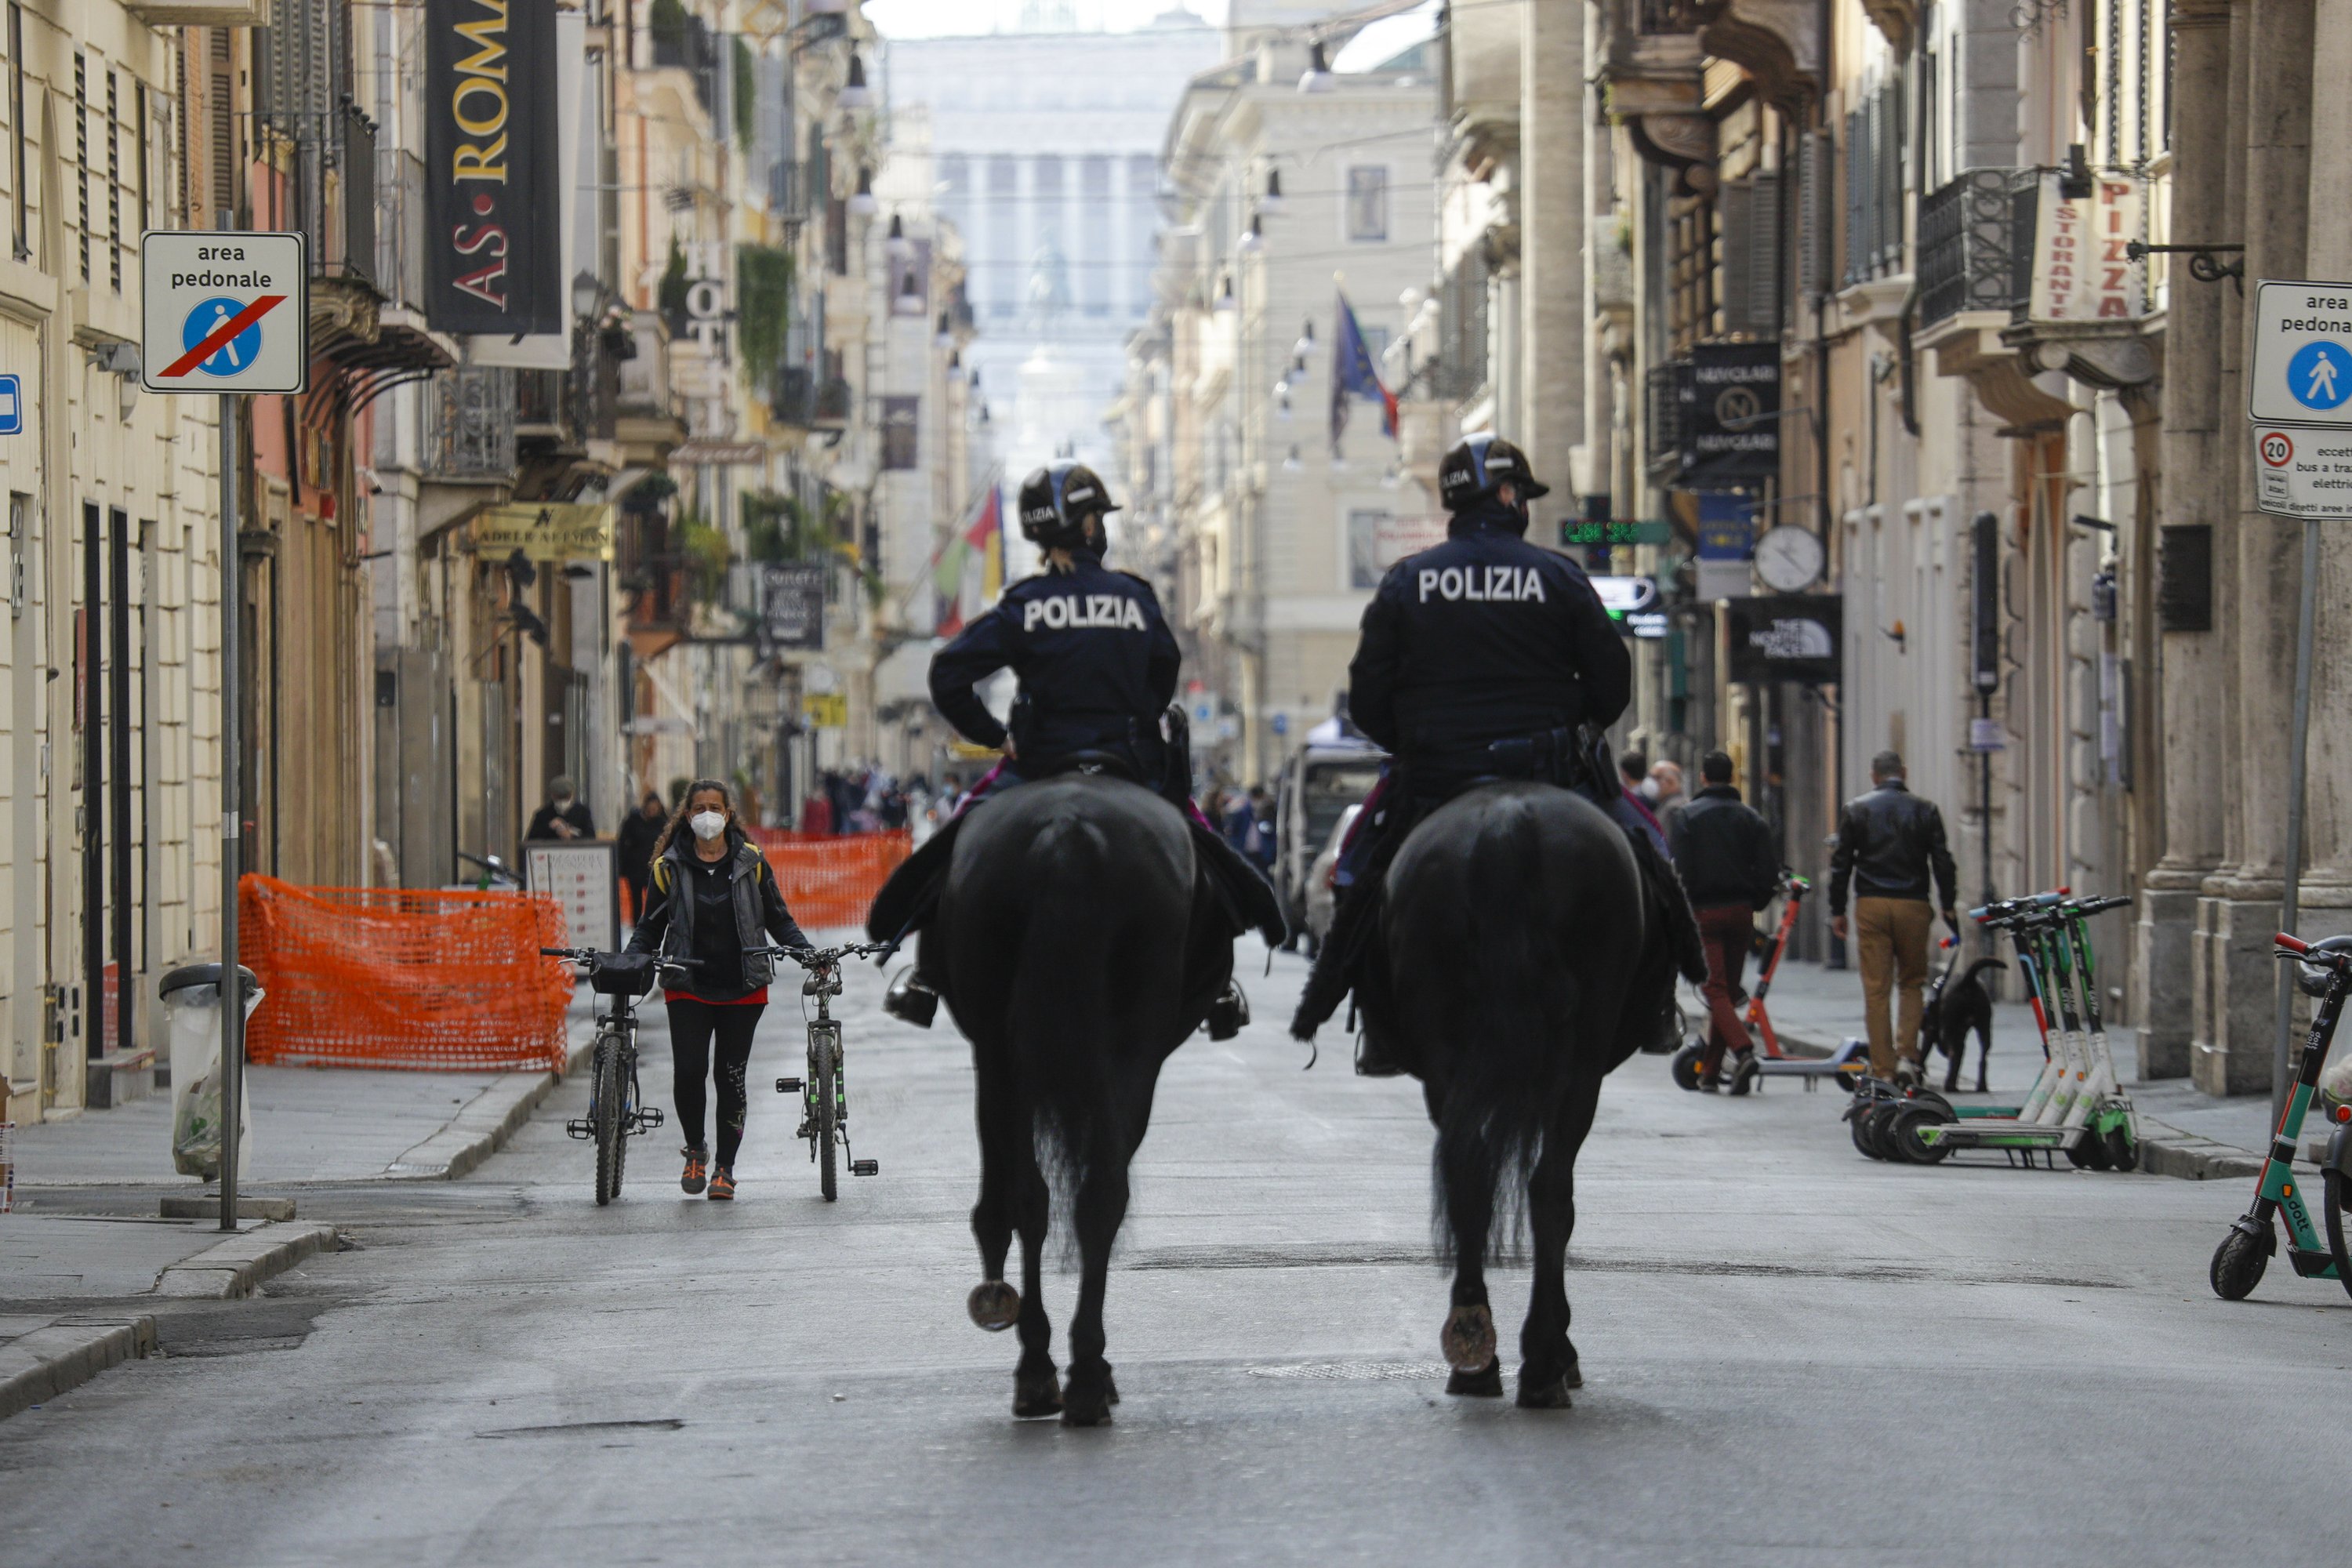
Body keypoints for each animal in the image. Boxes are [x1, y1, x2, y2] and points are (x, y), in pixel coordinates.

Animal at [913, 766, 1232, 1429]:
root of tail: (1068, 833)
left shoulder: (993, 1054)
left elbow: (1006, 1202)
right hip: (1127, 1044)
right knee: (1095, 1195)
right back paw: (1081, 1371)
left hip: (1008, 1046)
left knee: (1037, 1197)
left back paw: (1043, 1368)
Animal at [1374, 785, 1684, 1410]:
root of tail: (1507, 819)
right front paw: (1563, 1353)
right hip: (1580, 1058)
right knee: (1550, 1190)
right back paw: (1543, 1360)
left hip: (1447, 1050)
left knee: (1470, 1175)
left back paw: (1473, 1345)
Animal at [1929, 949, 2004, 1100]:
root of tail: (1968, 980)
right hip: (1984, 1027)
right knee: (1982, 1058)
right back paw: (1981, 1086)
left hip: (1949, 1028)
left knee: (1953, 1054)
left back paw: (1950, 1086)